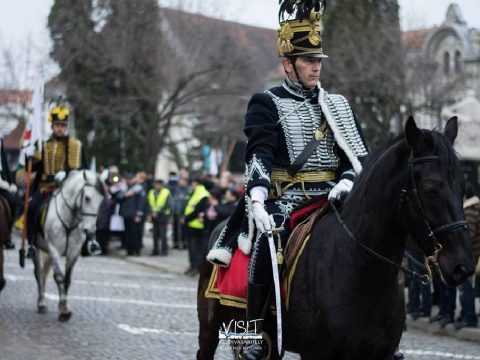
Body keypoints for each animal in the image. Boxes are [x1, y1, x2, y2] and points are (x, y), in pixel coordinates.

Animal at [34, 170, 107, 322]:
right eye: (87, 198)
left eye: (101, 200)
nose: (90, 230)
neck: (69, 218)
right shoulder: (54, 250)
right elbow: (59, 277)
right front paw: (63, 308)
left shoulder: (73, 252)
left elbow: (67, 279)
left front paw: (64, 309)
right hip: (38, 248)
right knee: (39, 273)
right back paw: (41, 302)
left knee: (44, 273)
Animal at [196, 116, 476, 358]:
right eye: (429, 187)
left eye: (464, 188)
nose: (462, 265)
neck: (362, 270)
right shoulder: (317, 353)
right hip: (211, 329)